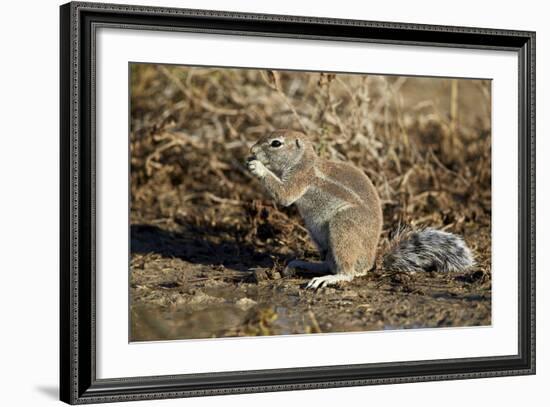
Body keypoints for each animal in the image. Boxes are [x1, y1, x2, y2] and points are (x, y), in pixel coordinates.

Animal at [248, 129, 476, 288]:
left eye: (276, 143)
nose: (251, 151)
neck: (303, 161)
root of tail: (373, 260)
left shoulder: (300, 178)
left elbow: (284, 195)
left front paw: (257, 167)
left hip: (343, 225)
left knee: (349, 272)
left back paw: (329, 278)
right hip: (321, 239)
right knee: (330, 262)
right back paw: (304, 265)